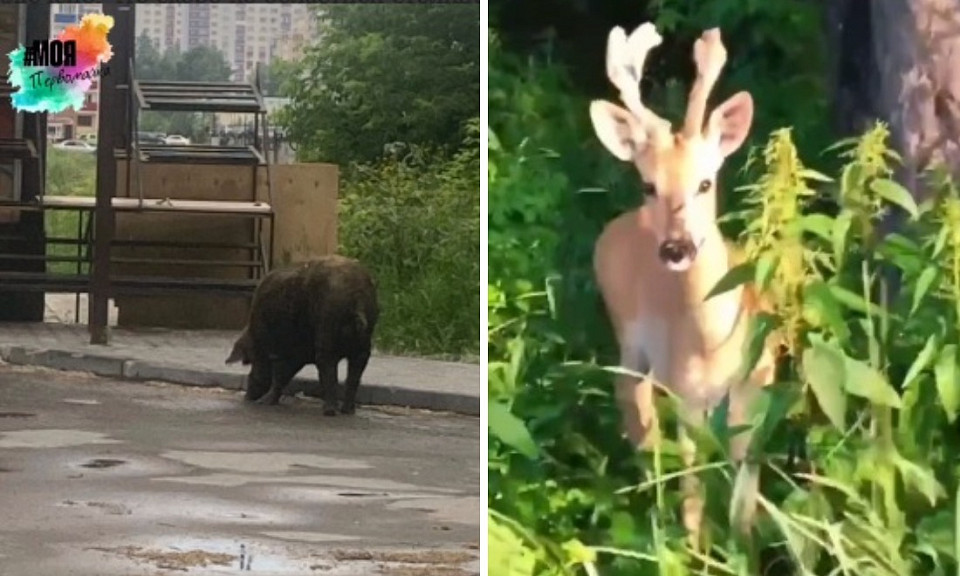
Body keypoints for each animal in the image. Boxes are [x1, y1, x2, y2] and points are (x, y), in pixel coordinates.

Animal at [584, 22, 780, 544]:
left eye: (706, 182)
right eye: (649, 185)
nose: (676, 248)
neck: (712, 344)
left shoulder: (757, 383)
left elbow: (744, 486)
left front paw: (742, 546)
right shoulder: (684, 390)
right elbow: (693, 489)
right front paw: (694, 548)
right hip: (628, 341)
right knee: (636, 414)